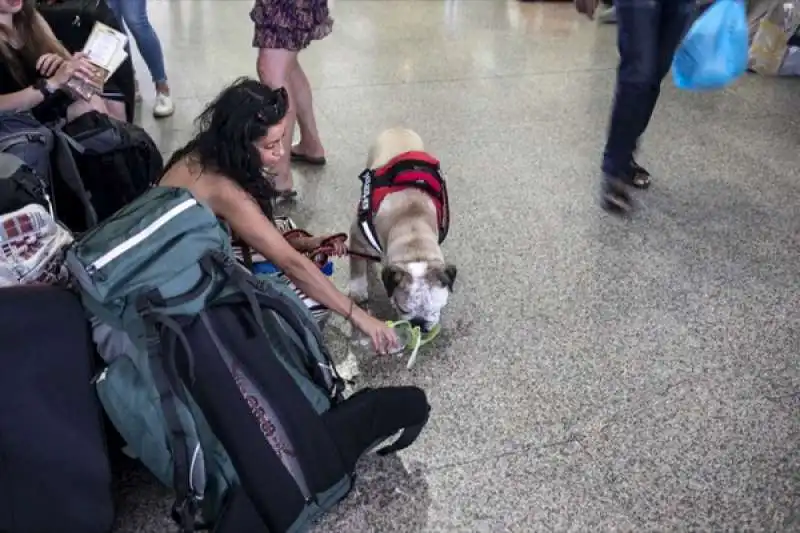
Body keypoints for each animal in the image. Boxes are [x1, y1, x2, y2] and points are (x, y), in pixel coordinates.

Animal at [348, 127, 456, 330]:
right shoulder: (358, 236)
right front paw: (357, 290)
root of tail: (398, 128)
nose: (418, 323)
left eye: (435, 310)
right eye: (403, 309)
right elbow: (356, 265)